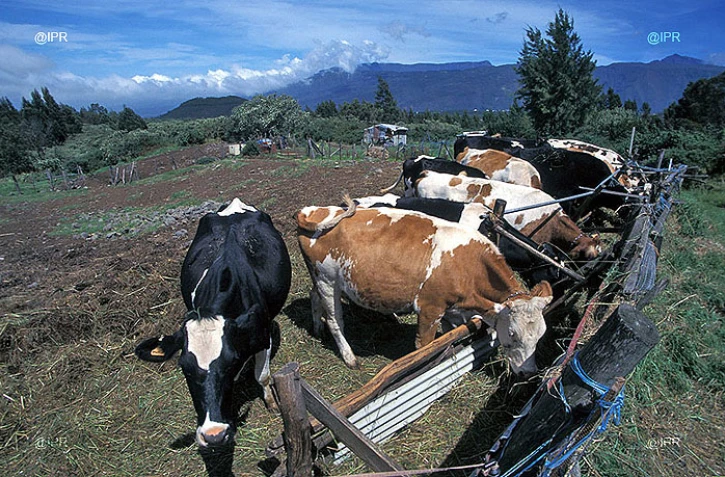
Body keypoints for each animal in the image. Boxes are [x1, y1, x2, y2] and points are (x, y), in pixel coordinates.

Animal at [135, 198, 292, 447]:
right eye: (184, 368)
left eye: (230, 362)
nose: (214, 434)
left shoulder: (262, 332)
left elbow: (262, 375)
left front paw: (272, 404)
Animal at [295, 197, 553, 376]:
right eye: (513, 334)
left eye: (541, 335)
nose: (528, 372)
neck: (468, 264)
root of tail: (314, 210)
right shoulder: (430, 308)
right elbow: (424, 347)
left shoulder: (453, 310)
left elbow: (448, 337)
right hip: (328, 280)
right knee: (335, 320)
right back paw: (349, 357)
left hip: (320, 278)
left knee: (313, 296)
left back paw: (317, 329)